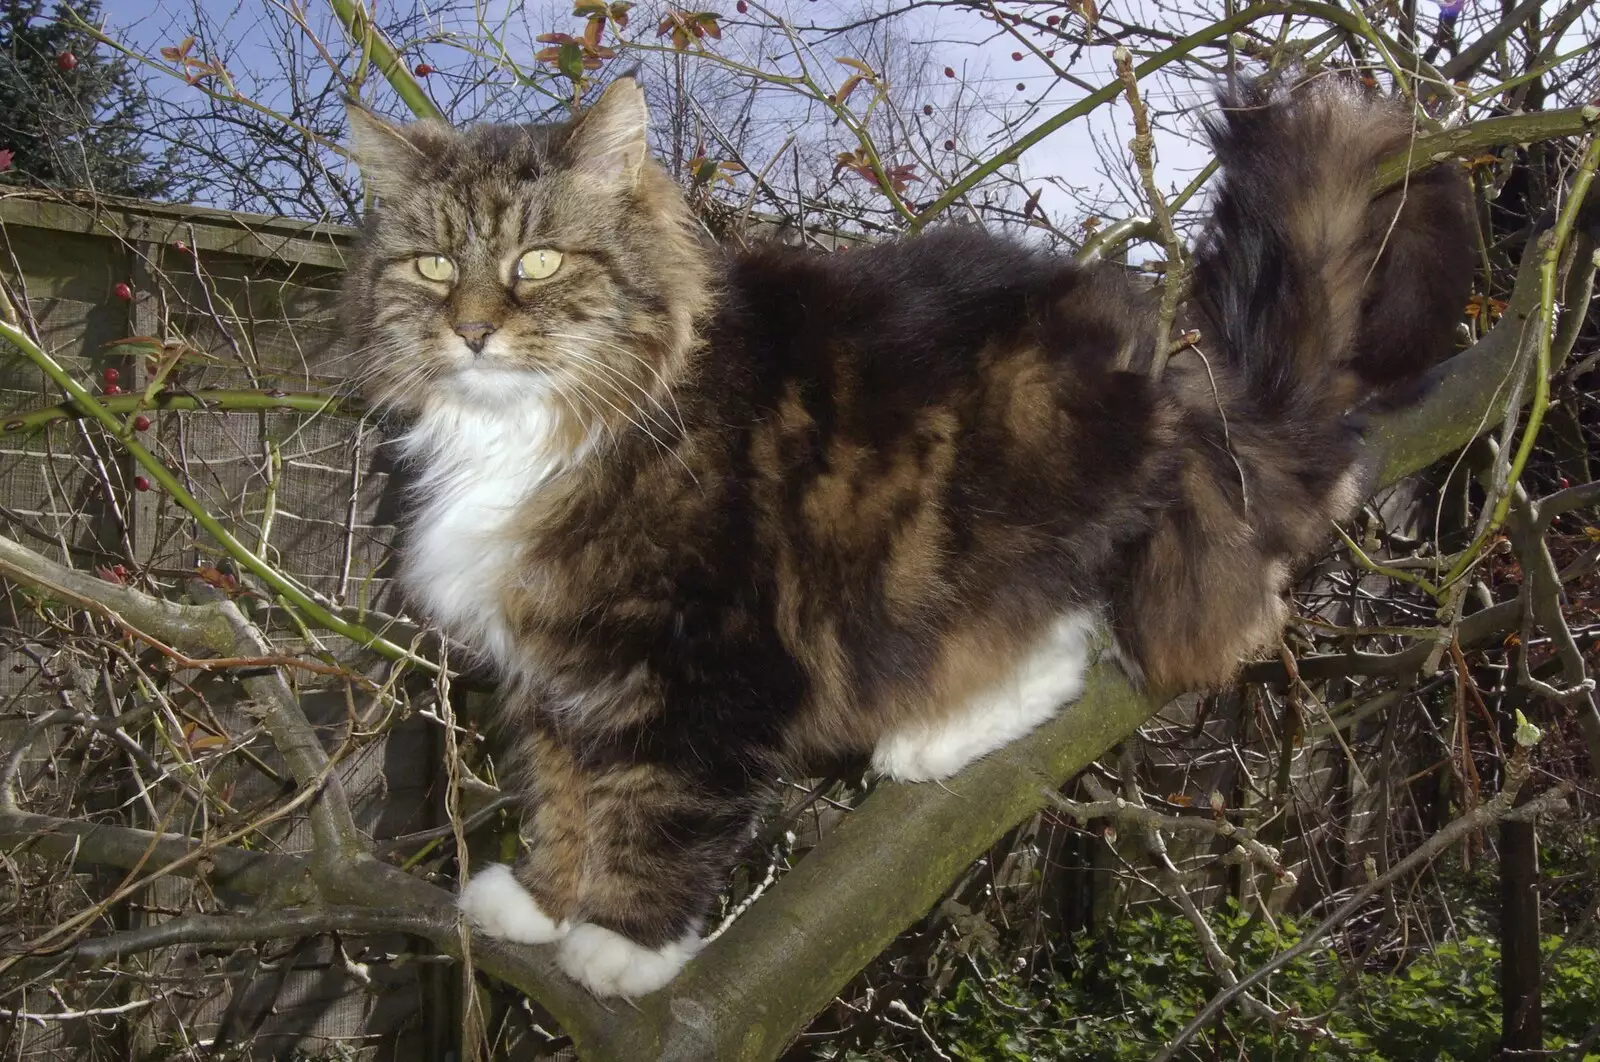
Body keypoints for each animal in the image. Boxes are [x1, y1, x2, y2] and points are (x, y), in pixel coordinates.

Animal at [340, 72, 1472, 998]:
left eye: (537, 261)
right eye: (434, 267)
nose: (472, 330)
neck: (544, 428)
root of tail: (1186, 374)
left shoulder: (705, 659)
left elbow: (662, 802)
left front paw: (626, 942)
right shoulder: (565, 667)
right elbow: (569, 789)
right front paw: (546, 902)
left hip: (1016, 478)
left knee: (1073, 630)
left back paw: (941, 734)